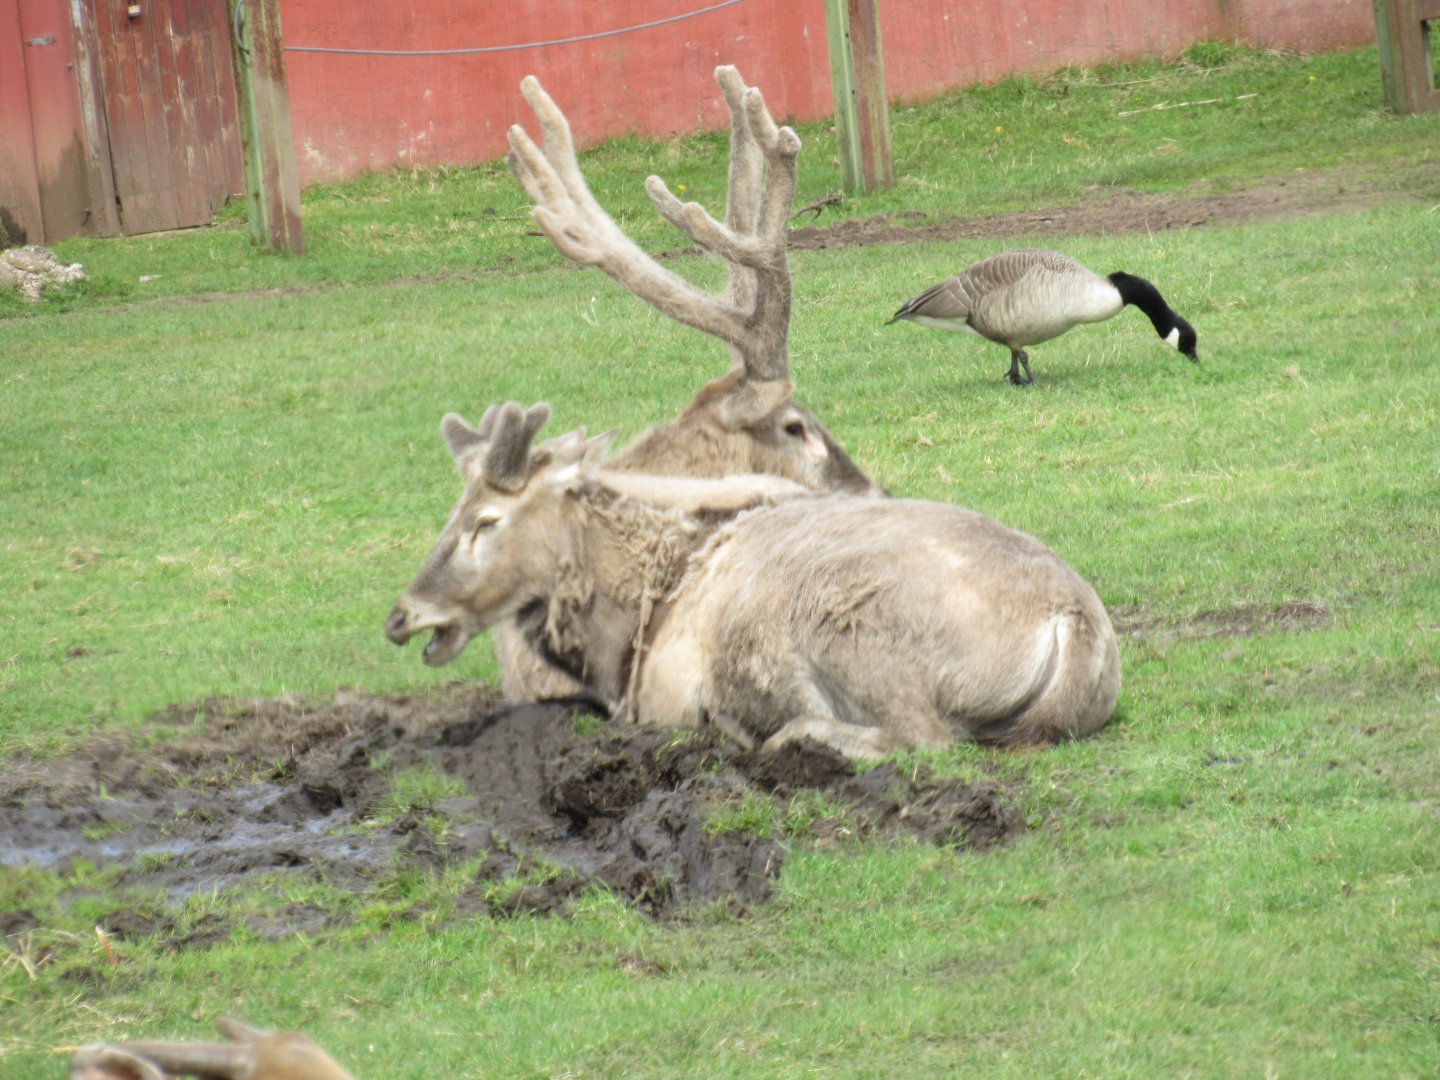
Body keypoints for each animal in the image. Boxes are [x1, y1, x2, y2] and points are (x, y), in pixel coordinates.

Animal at [385, 402, 1121, 760]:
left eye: (484, 519)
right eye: (451, 511)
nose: (403, 614)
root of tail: (1074, 620)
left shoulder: (662, 702)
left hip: (860, 635)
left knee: (926, 739)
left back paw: (781, 736)